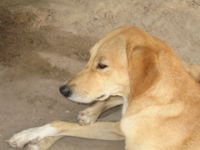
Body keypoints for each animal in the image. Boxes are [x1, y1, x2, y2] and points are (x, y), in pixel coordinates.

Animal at [8, 26, 200, 150]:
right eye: (89, 57)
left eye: (102, 65)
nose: (63, 90)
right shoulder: (120, 130)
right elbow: (60, 123)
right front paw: (27, 135)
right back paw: (88, 114)